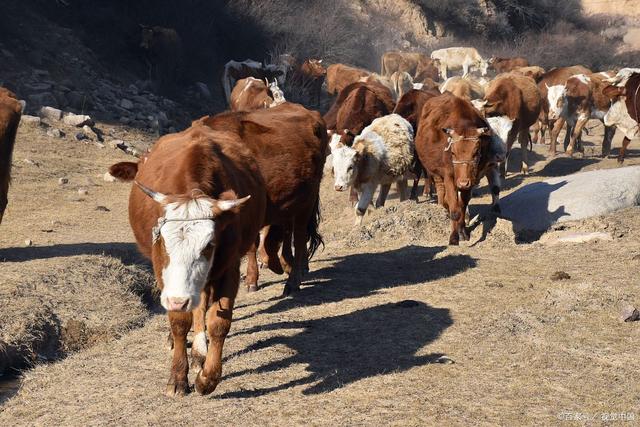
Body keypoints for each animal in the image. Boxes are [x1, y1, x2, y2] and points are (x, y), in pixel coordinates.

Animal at [412, 93, 492, 247]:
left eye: (475, 152)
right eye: (453, 153)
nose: (463, 183)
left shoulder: (470, 180)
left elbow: (462, 206)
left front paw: (463, 232)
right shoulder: (449, 176)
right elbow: (455, 210)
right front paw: (454, 237)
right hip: (435, 172)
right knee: (441, 191)